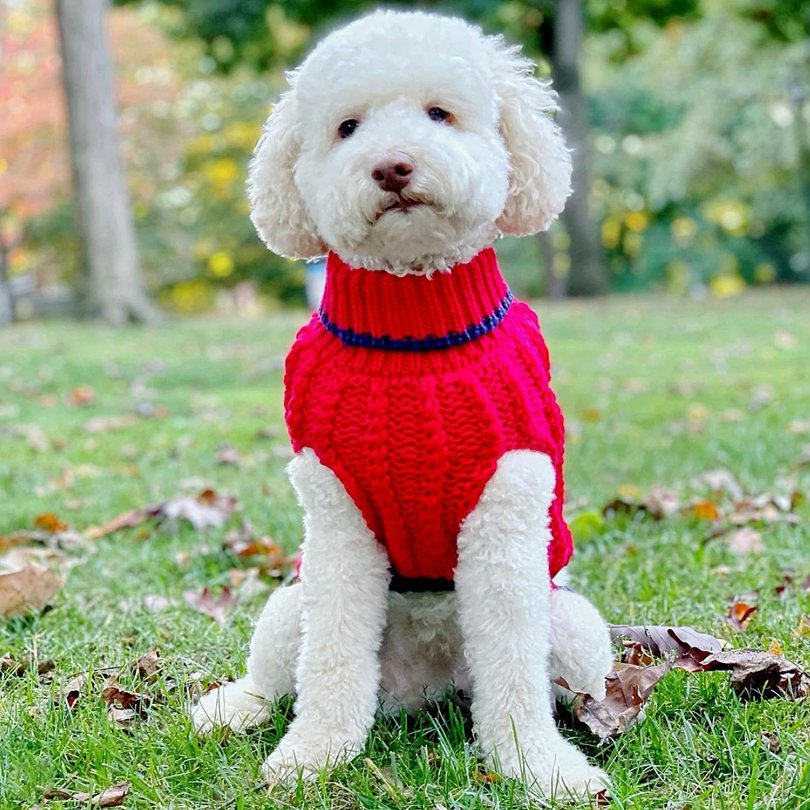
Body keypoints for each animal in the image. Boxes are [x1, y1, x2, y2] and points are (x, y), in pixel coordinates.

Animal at [193, 11, 612, 796]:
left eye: (439, 113)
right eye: (347, 128)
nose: (391, 166)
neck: (414, 325)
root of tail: (426, 688)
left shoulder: (507, 508)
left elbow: (515, 669)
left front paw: (536, 766)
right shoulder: (335, 517)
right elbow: (331, 661)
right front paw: (313, 755)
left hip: (576, 628)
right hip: (288, 605)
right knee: (277, 675)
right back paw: (234, 709)